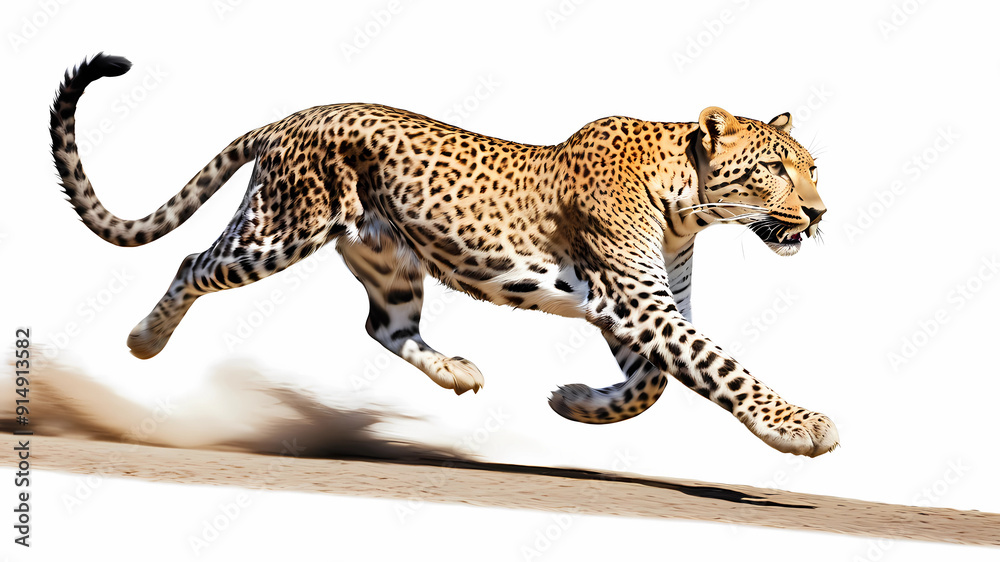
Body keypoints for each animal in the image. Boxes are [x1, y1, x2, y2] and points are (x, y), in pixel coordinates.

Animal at [50, 54, 838, 456]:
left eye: (812, 167)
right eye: (775, 169)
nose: (820, 213)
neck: (690, 203)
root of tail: (294, 115)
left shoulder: (639, 309)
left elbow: (653, 384)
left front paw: (574, 403)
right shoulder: (637, 303)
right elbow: (719, 369)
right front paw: (800, 428)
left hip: (388, 261)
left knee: (385, 326)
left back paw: (456, 371)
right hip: (277, 231)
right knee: (192, 264)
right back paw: (144, 341)